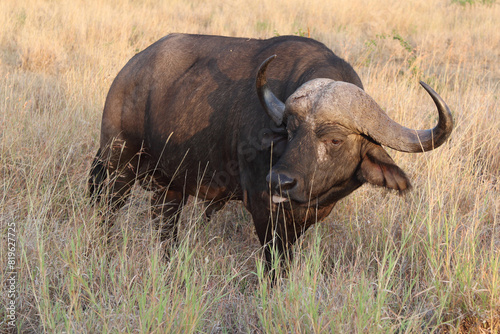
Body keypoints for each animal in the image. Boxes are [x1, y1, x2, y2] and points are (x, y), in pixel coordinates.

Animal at [89, 34, 454, 268]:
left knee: (165, 225)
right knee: (108, 213)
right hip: (119, 167)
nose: (280, 181)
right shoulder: (263, 210)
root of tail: (128, 73)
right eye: (290, 130)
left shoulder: (306, 219)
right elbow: (274, 265)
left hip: (171, 186)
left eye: (335, 139)